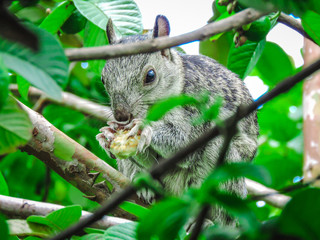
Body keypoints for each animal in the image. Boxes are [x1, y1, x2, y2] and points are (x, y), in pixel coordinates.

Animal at [95, 14, 258, 225]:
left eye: (150, 75)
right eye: (103, 78)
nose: (121, 116)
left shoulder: (197, 109)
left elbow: (184, 143)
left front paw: (145, 128)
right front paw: (106, 135)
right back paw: (143, 182)